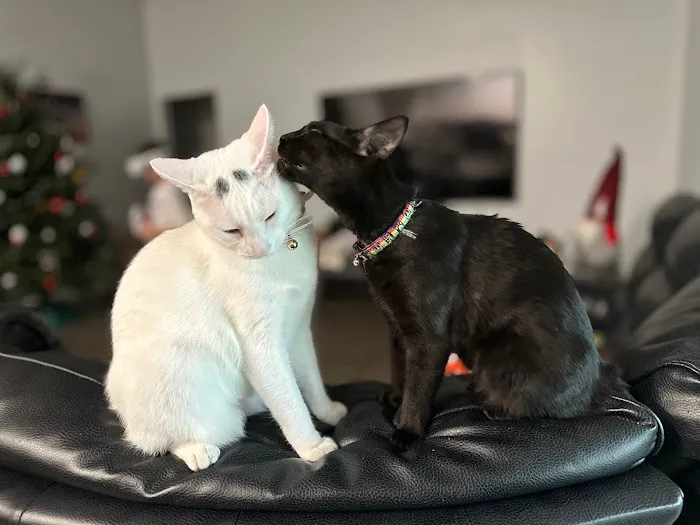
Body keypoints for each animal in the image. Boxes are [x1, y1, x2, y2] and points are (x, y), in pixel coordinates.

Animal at [106, 105, 347, 471]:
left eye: (269, 216)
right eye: (232, 231)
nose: (260, 248)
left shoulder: (299, 329)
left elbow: (310, 379)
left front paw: (328, 410)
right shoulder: (261, 348)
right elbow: (289, 400)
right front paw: (313, 448)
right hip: (178, 375)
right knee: (162, 440)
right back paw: (196, 449)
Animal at [276, 116, 625, 453]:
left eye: (314, 132)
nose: (281, 137)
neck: (393, 229)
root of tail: (603, 378)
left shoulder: (430, 339)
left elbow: (418, 387)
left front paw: (406, 431)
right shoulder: (397, 328)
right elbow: (400, 370)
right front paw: (395, 400)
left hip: (497, 357)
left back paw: (488, 402)